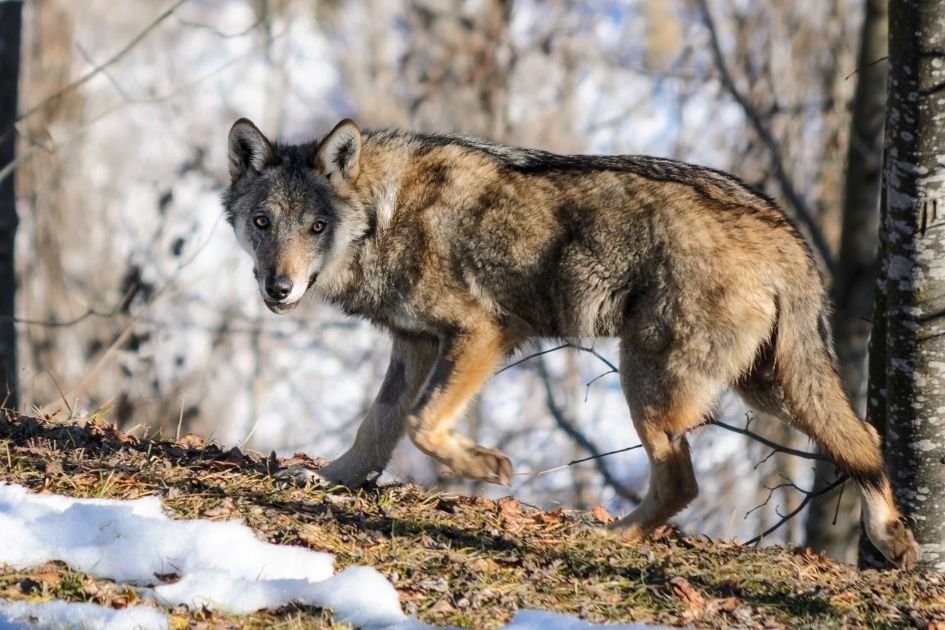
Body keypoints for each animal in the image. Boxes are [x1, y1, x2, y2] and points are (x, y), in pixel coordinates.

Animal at [221, 116, 916, 572]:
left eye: (317, 226)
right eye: (262, 223)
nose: (279, 288)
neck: (384, 215)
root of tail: (784, 231)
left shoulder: (481, 333)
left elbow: (420, 424)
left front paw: (487, 467)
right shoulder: (414, 343)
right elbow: (378, 427)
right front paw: (331, 479)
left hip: (651, 382)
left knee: (681, 483)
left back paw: (609, 539)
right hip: (770, 388)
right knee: (864, 437)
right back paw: (893, 537)